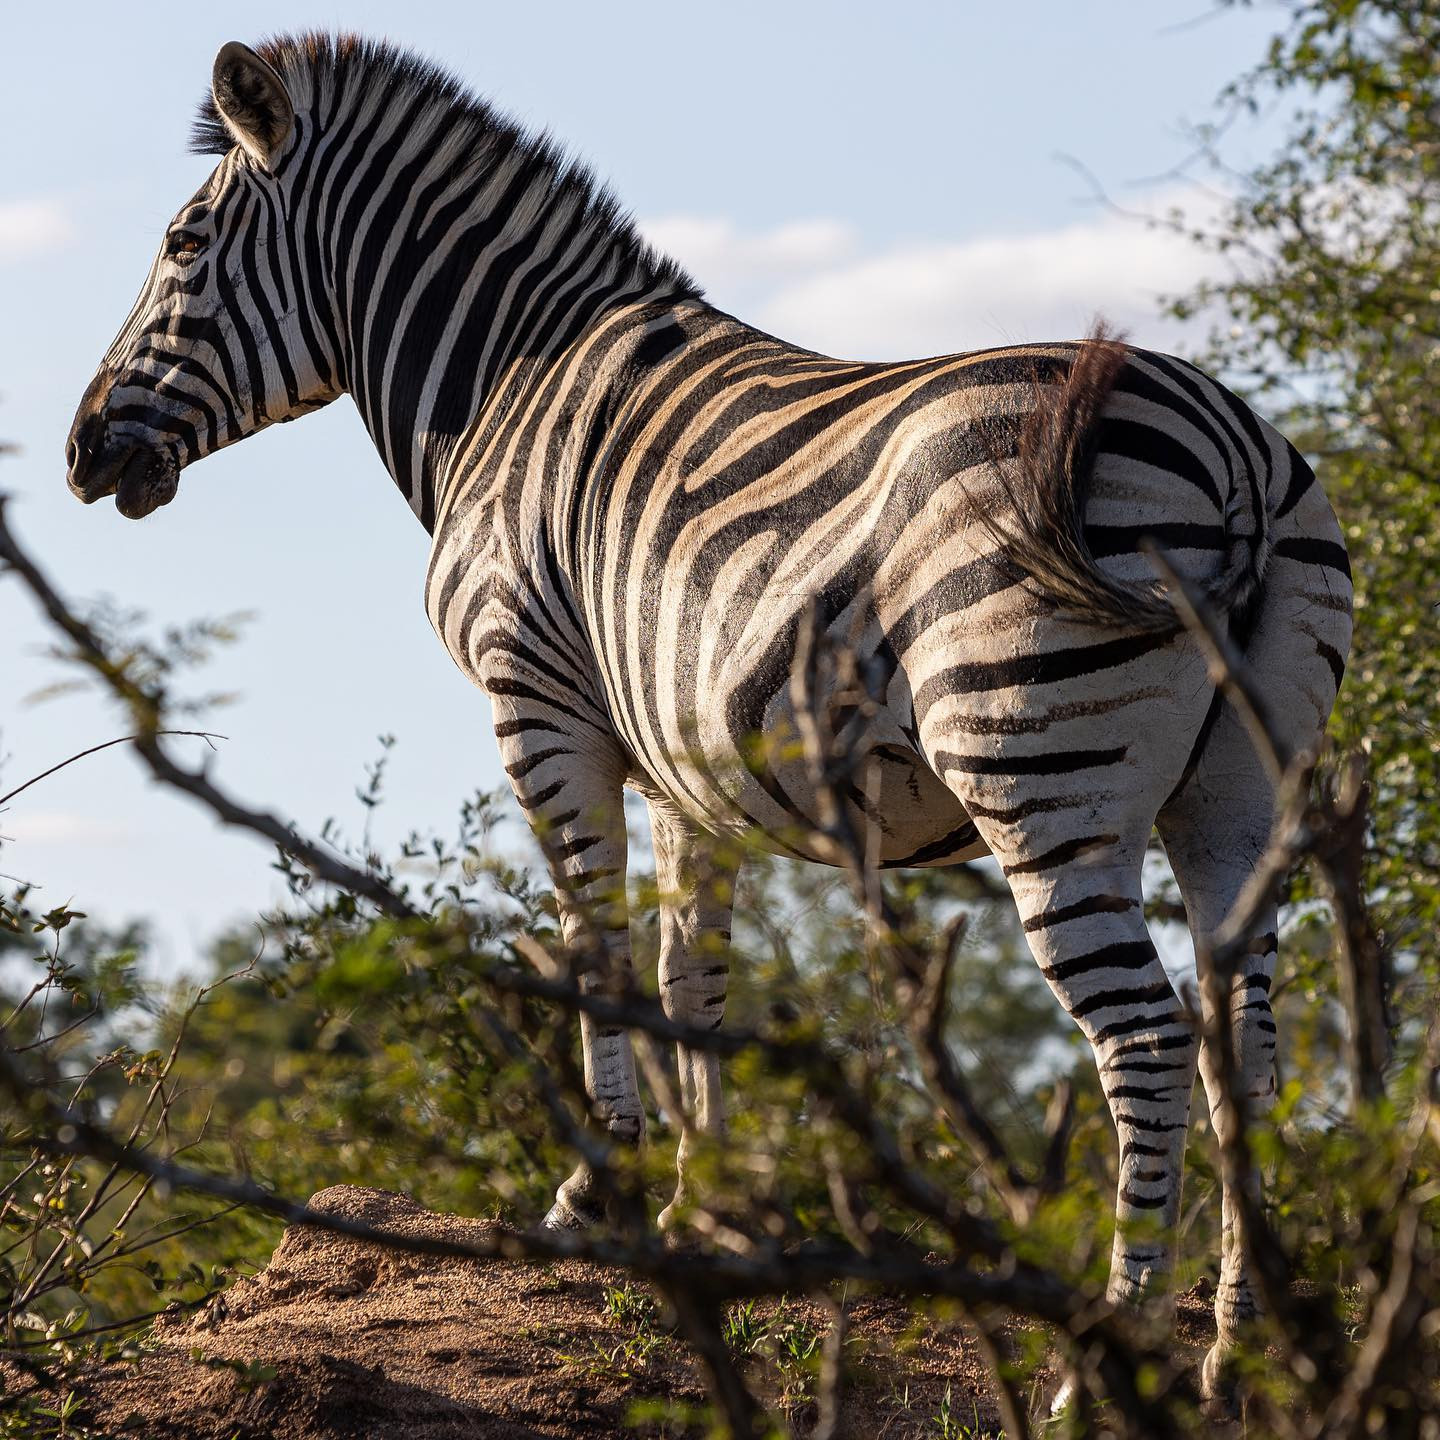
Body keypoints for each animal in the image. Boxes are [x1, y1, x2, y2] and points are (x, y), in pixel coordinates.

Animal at [65, 35, 1352, 1400]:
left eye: (182, 244)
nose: (81, 454)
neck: (506, 380)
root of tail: (1233, 446)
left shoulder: (536, 698)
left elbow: (596, 943)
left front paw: (601, 1192)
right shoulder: (690, 756)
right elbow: (694, 974)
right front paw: (711, 1208)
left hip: (1041, 772)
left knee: (1148, 1046)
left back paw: (1100, 1365)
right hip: (1239, 792)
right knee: (1247, 1050)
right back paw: (1247, 1351)